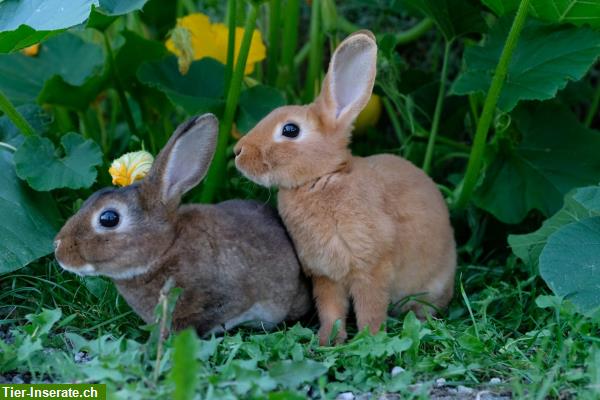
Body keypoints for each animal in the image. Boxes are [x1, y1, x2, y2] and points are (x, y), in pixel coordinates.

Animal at [234, 31, 454, 344]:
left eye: (290, 130)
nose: (238, 152)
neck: (322, 178)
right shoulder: (326, 276)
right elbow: (331, 310)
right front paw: (327, 341)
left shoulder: (371, 268)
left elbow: (370, 308)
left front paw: (369, 339)